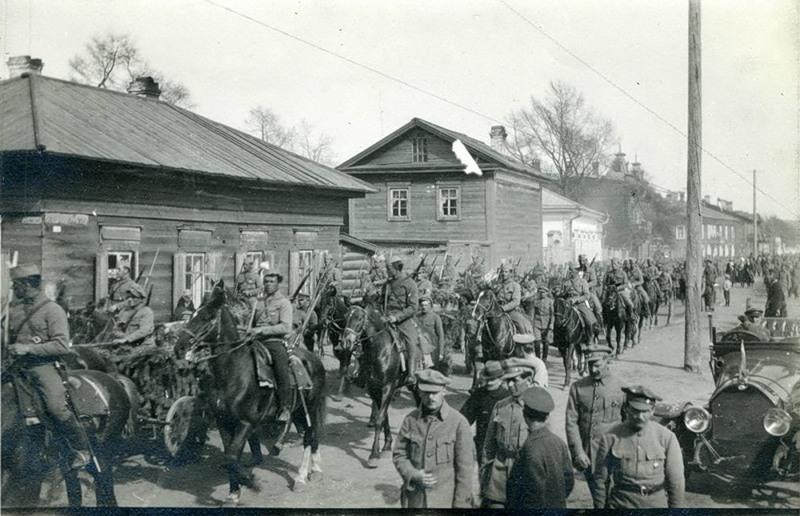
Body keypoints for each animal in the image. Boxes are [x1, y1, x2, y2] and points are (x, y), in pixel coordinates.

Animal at [173, 282, 326, 504]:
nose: (179, 347)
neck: (232, 373)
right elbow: (229, 456)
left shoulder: (246, 422)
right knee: (309, 436)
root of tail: (313, 359)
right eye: (193, 314)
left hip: (311, 408)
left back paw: (300, 477)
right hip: (298, 410)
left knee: (309, 436)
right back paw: (312, 470)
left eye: (208, 317)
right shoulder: (223, 421)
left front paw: (250, 482)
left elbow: (231, 456)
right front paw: (233, 493)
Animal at [340, 302, 406, 468]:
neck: (380, 351)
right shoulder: (374, 388)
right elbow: (383, 416)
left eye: (359, 318)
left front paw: (373, 455)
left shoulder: (388, 387)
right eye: (346, 317)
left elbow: (379, 419)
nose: (346, 342)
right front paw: (387, 444)